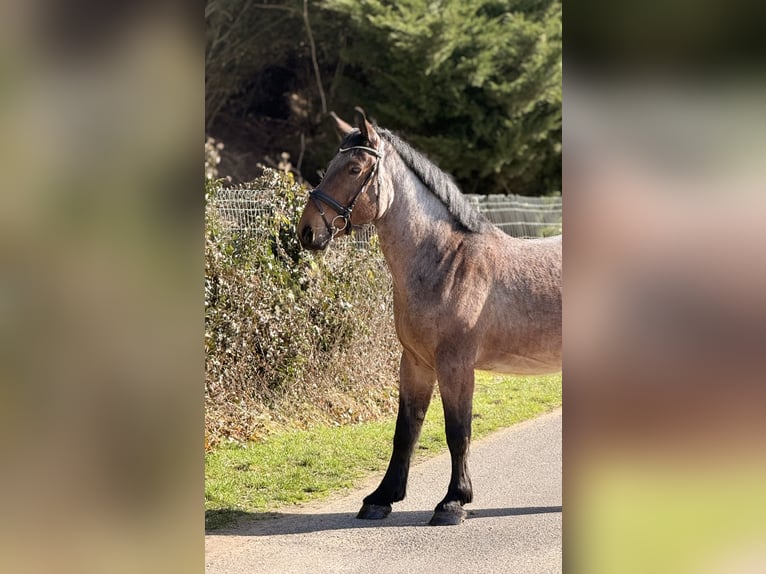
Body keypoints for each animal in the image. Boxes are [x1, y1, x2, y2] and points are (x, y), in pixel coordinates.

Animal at [297, 108, 562, 526]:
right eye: (329, 167)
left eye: (354, 168)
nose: (307, 231)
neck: (445, 261)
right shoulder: (416, 362)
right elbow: (406, 429)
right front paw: (381, 498)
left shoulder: (455, 364)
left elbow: (458, 431)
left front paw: (453, 501)